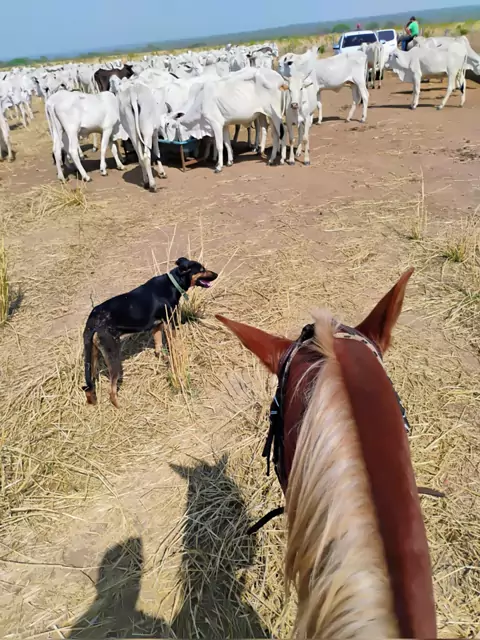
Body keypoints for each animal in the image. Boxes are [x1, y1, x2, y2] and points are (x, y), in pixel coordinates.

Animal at [83, 257, 217, 407]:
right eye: (201, 270)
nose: (216, 274)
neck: (173, 283)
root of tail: (93, 318)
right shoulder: (170, 323)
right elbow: (173, 344)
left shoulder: (157, 326)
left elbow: (158, 347)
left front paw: (164, 358)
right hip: (114, 357)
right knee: (111, 392)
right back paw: (120, 407)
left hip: (93, 357)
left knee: (90, 385)